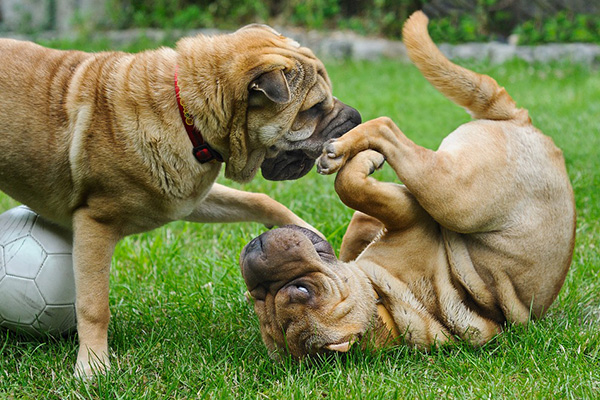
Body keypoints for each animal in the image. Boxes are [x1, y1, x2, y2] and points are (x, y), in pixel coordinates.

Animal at [0, 23, 360, 376]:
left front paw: (310, 234)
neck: (186, 111)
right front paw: (92, 367)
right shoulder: (95, 223)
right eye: (313, 108)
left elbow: (259, 200)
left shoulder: (188, 197)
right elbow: (93, 304)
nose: (356, 117)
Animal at [239, 10, 576, 358]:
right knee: (387, 128)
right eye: (260, 297)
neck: (383, 305)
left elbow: (354, 201)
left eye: (302, 290)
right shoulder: (408, 214)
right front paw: (364, 160)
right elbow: (349, 186)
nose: (256, 250)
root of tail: (521, 120)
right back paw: (345, 149)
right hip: (452, 195)